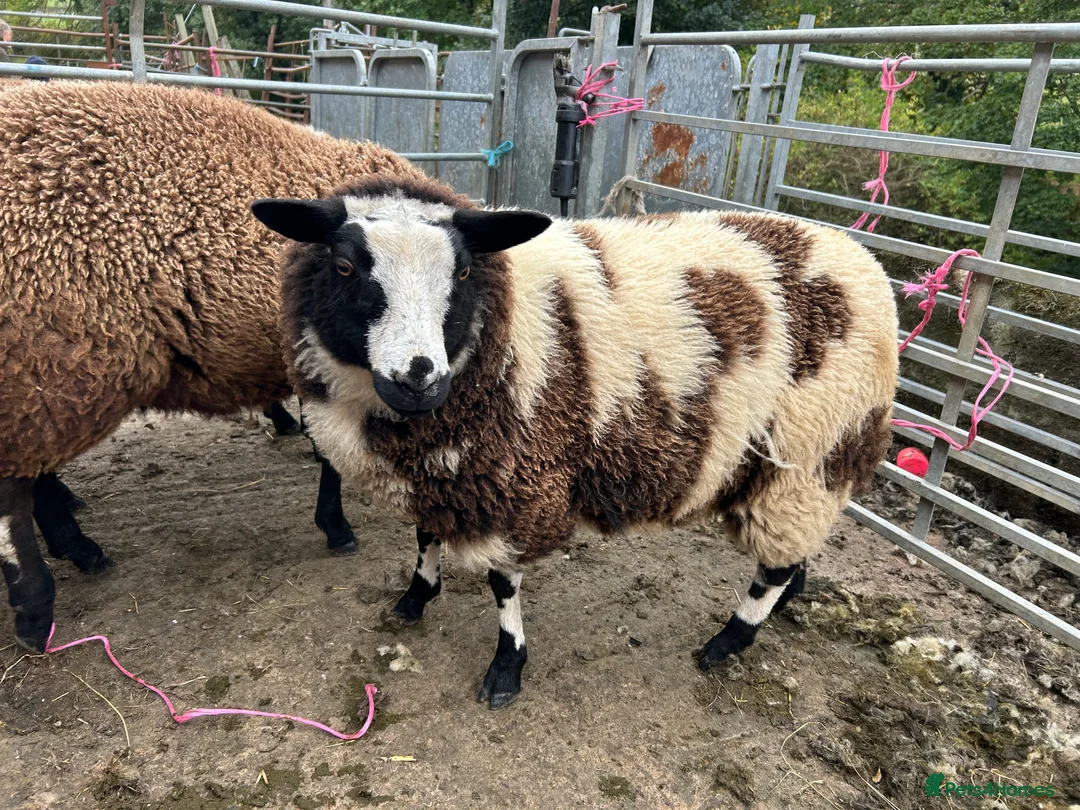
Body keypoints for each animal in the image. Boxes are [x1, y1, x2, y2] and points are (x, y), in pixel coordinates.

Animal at [0, 80, 423, 653]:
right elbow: (328, 451)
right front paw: (337, 528)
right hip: (43, 365)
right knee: (14, 495)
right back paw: (37, 602)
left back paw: (75, 548)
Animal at [252, 173, 899, 709]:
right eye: (343, 267)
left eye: (461, 272)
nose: (419, 378)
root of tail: (861, 257)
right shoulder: (447, 467)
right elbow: (426, 533)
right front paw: (415, 597)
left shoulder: (516, 478)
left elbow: (502, 583)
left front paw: (506, 669)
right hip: (806, 460)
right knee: (792, 551)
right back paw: (784, 602)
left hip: (811, 445)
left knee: (776, 563)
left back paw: (728, 641)